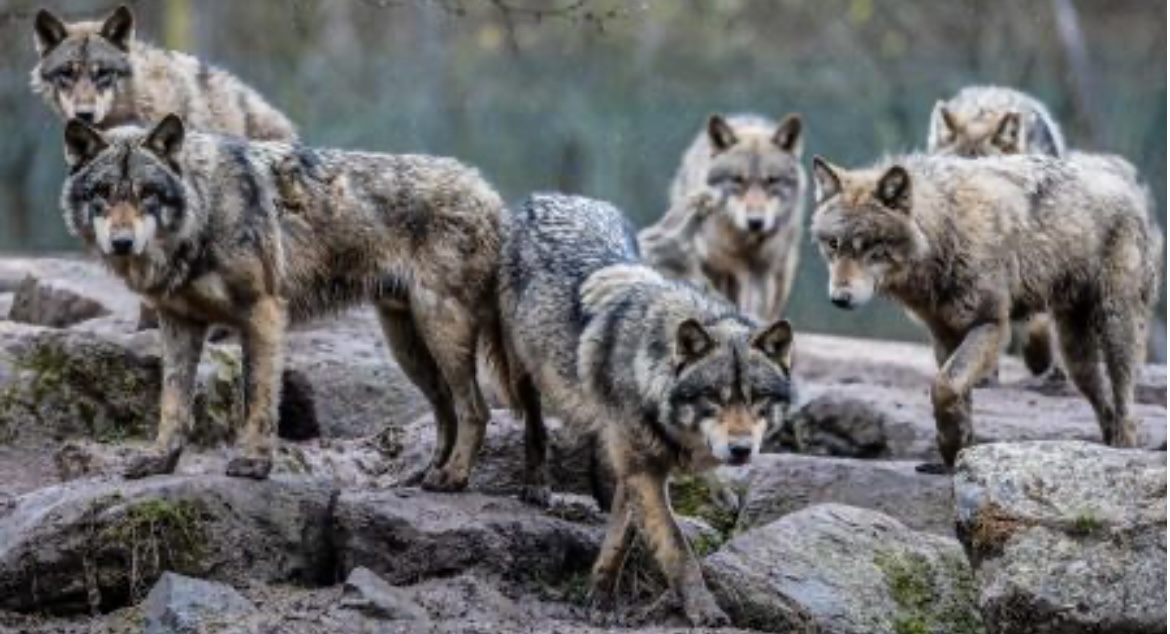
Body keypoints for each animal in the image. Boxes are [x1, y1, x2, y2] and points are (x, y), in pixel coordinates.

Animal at [60, 114, 505, 486]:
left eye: (147, 193)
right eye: (103, 193)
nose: (121, 243)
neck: (205, 211)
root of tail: (489, 192)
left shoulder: (263, 312)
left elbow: (258, 396)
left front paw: (253, 463)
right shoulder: (178, 323)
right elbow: (173, 403)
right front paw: (159, 461)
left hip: (440, 331)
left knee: (475, 409)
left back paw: (453, 478)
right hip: (407, 347)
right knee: (446, 409)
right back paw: (425, 474)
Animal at [499, 194, 795, 626]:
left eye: (757, 397)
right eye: (715, 397)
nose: (741, 450)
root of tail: (549, 196)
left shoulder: (638, 470)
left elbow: (621, 537)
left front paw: (600, 597)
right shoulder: (644, 472)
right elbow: (676, 548)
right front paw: (704, 611)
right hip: (524, 369)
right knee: (535, 424)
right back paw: (536, 483)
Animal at [638, 113, 806, 321]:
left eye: (772, 181)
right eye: (737, 180)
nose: (756, 222)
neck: (742, 242)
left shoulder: (760, 273)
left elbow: (754, 308)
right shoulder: (713, 267)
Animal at [810, 152, 1161, 470]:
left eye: (869, 247)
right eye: (833, 244)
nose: (839, 298)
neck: (946, 229)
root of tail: (1125, 181)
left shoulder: (991, 325)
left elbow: (944, 386)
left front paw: (952, 446)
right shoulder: (944, 334)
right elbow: (954, 391)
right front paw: (956, 448)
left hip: (1116, 328)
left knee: (1125, 399)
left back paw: (1125, 449)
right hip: (1076, 357)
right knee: (1105, 404)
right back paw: (1109, 445)